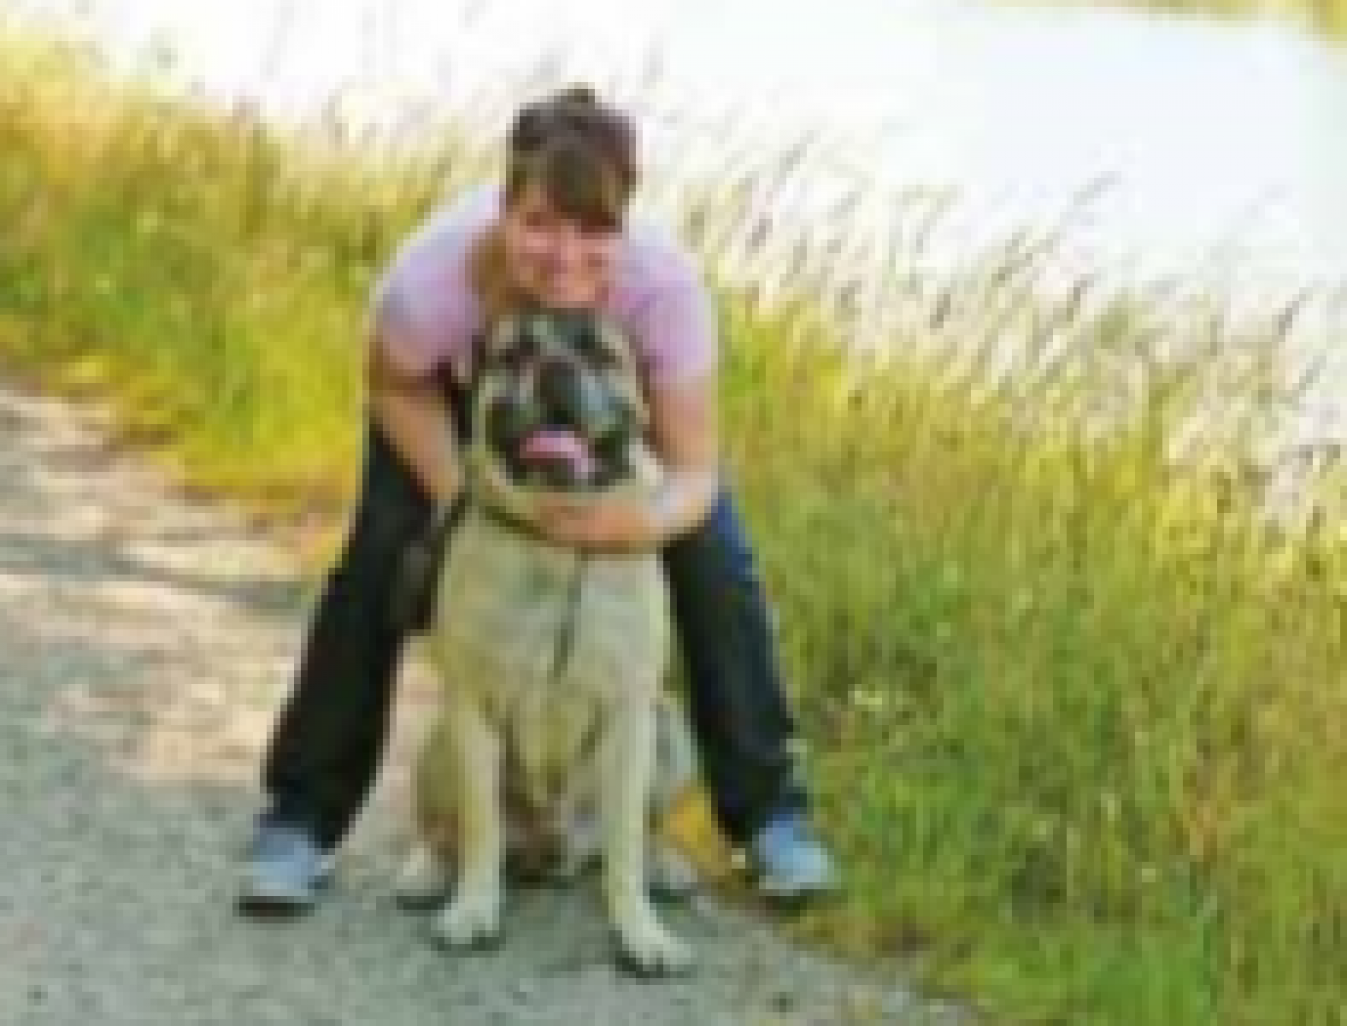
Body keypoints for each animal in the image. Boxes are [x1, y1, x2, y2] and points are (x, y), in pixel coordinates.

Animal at [393, 304, 700, 974]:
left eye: (599, 352)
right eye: (514, 355)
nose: (557, 368)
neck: (559, 539)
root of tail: (553, 849)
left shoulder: (632, 714)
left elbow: (625, 843)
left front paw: (641, 933)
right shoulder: (474, 707)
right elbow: (480, 824)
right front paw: (473, 910)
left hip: (671, 729)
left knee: (641, 830)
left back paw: (664, 867)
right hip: (438, 744)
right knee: (445, 830)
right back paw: (427, 873)